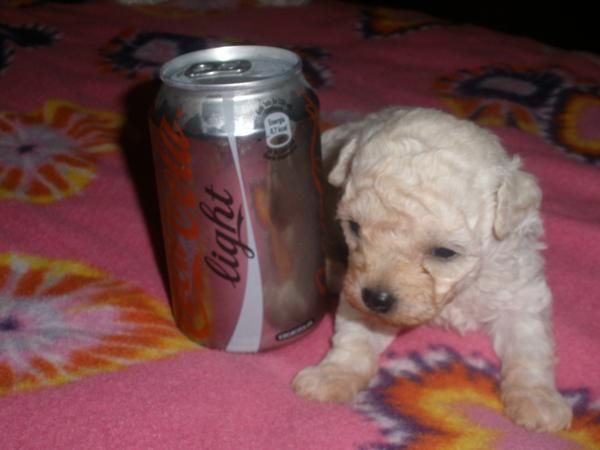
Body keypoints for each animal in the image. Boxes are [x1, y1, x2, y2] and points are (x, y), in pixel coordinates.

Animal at [292, 108, 576, 432]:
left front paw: (538, 401)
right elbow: (354, 338)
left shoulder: (520, 292)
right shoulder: (360, 290)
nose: (376, 299)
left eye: (444, 253)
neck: (459, 291)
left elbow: (531, 348)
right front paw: (332, 375)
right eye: (354, 227)